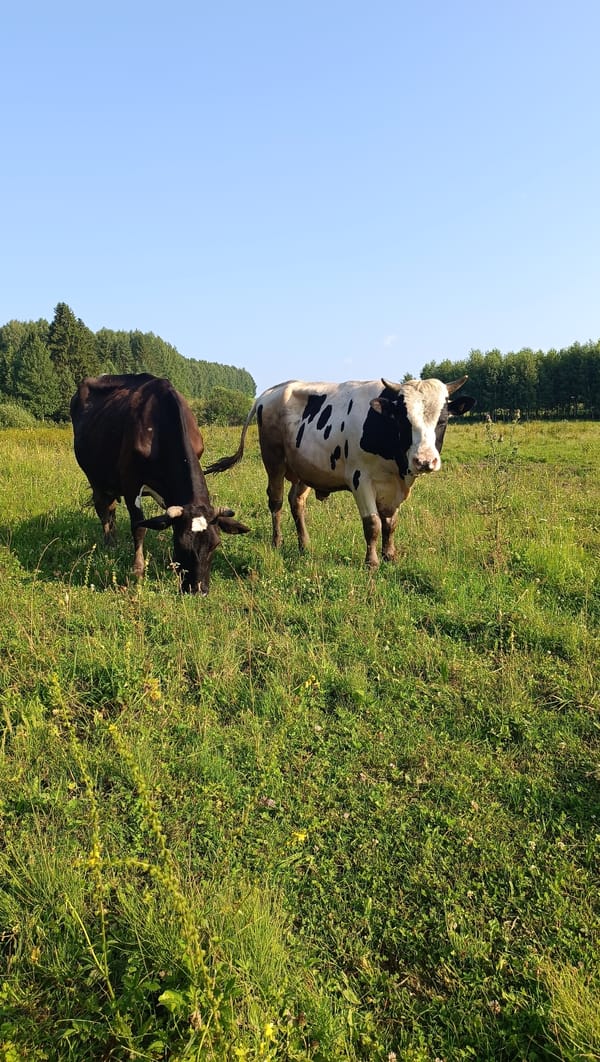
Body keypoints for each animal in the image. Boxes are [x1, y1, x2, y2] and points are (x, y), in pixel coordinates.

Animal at [70, 373, 250, 593]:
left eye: (215, 544)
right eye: (181, 545)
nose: (199, 591)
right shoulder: (131, 482)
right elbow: (139, 527)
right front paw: (138, 571)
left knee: (110, 509)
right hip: (96, 477)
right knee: (103, 509)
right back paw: (109, 544)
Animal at [205, 375, 475, 567]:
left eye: (443, 420)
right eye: (403, 420)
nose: (425, 461)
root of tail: (272, 392)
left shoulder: (395, 486)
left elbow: (390, 523)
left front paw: (390, 555)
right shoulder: (360, 480)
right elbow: (373, 523)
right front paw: (372, 562)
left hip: (306, 466)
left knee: (296, 502)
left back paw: (304, 544)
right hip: (274, 461)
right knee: (276, 501)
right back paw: (277, 542)